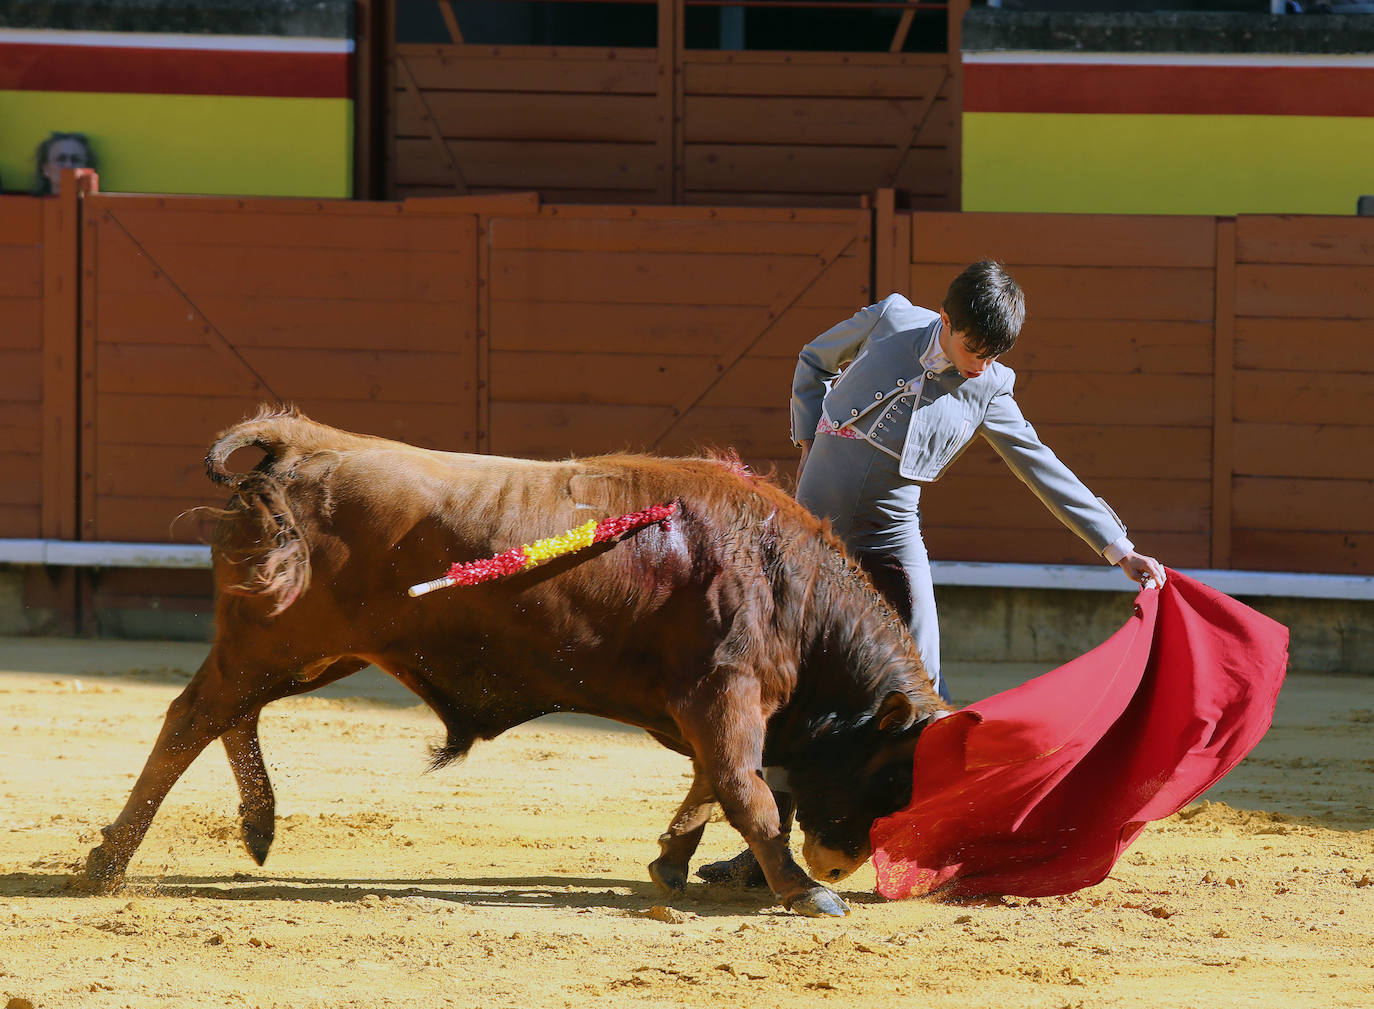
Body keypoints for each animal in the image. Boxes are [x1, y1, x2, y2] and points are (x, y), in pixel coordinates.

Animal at [83, 406, 945, 918]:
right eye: (888, 776)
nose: (841, 865)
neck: (782, 578)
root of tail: (303, 442)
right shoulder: (725, 694)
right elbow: (746, 788)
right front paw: (803, 892)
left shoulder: (710, 706)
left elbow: (710, 787)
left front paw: (673, 862)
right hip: (278, 638)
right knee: (191, 717)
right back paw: (108, 860)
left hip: (302, 647)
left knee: (233, 713)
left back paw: (256, 826)